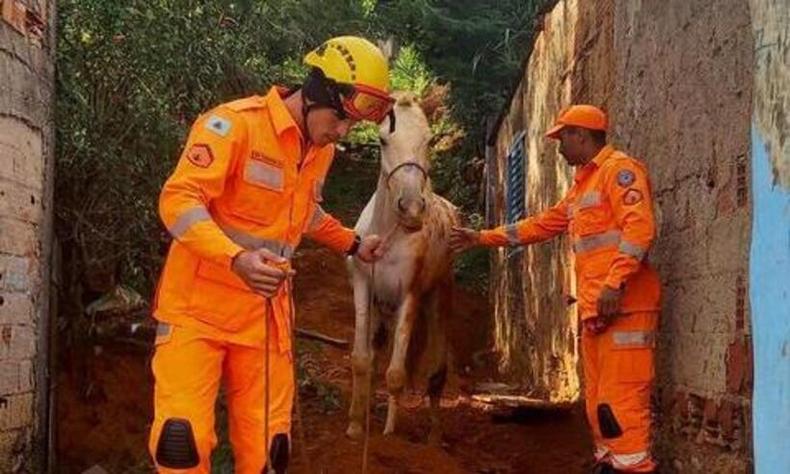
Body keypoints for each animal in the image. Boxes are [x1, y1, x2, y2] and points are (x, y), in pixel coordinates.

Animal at [344, 92, 458, 444]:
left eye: (429, 139)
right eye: (383, 139)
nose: (411, 209)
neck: (387, 233)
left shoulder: (410, 294)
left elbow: (396, 373)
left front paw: (389, 434)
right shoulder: (364, 287)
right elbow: (362, 360)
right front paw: (356, 425)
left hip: (437, 297)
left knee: (435, 371)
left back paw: (433, 436)